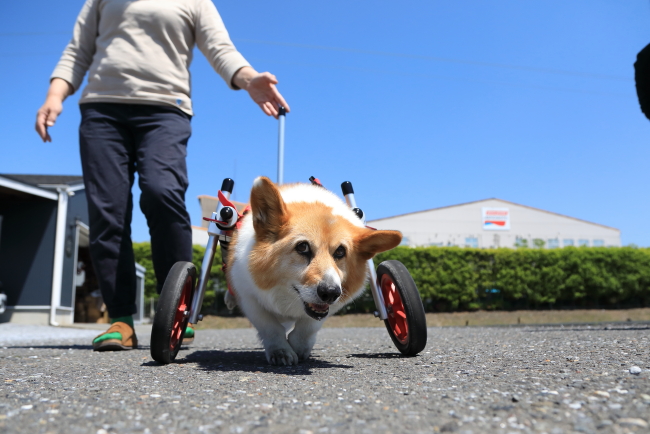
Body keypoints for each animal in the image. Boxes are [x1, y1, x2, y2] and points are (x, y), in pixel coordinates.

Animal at [224, 177, 400, 366]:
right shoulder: (249, 298)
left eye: (340, 252)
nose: (330, 293)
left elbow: (308, 326)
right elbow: (270, 327)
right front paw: (281, 351)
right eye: (302, 247)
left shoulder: (329, 307)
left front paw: (299, 347)